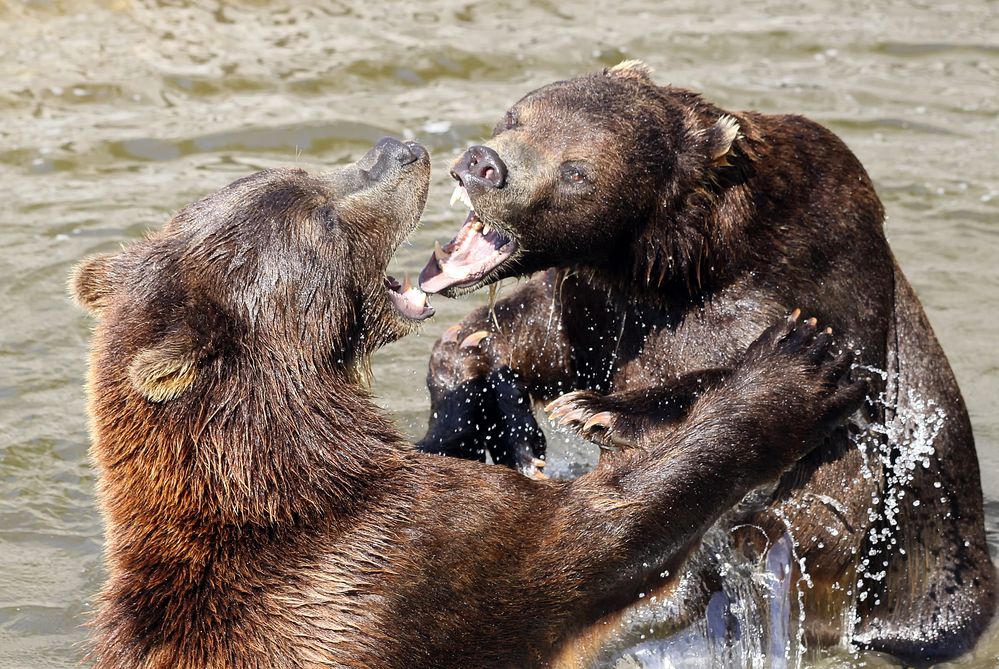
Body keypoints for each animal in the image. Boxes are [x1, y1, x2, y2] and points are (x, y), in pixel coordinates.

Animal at [70, 136, 862, 668]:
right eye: (319, 214)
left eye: (291, 172)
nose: (400, 149)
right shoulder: (404, 561)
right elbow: (595, 533)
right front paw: (794, 365)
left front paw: (474, 367)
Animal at [416, 62, 996, 664]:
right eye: (516, 116)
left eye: (577, 171)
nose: (484, 164)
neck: (686, 259)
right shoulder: (604, 304)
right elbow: (540, 332)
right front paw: (489, 407)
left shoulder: (817, 282)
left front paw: (600, 410)